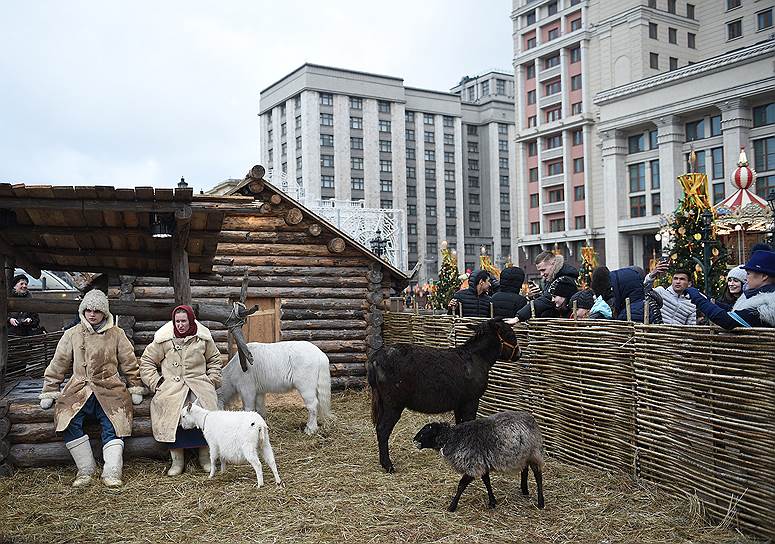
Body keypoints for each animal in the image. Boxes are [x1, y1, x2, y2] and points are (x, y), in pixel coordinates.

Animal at [368, 316, 520, 474]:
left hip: (384, 403)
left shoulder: (460, 403)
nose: (519, 354)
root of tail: (375, 359)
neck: (476, 358)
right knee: (382, 430)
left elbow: (461, 425)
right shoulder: (471, 401)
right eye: (510, 334)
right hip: (393, 404)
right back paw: (388, 465)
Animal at [412, 410, 544, 512]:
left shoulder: (473, 465)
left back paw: (540, 502)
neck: (452, 438)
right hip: (523, 455)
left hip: (534, 453)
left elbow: (461, 485)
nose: (414, 440)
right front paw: (492, 501)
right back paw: (524, 490)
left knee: (538, 476)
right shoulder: (481, 463)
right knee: (524, 469)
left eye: (424, 432)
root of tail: (531, 419)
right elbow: (486, 481)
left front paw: (452, 506)